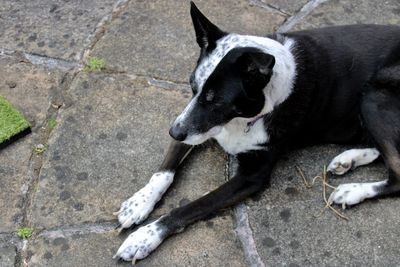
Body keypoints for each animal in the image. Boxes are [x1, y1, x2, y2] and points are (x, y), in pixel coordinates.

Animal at [111, 1, 400, 264]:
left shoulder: (251, 175)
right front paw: (139, 203)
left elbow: (192, 206)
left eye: (216, 101)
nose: (173, 132)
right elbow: (165, 170)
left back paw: (353, 190)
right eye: (192, 87)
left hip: (374, 94)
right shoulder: (192, 122)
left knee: (397, 175)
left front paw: (145, 236)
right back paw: (348, 160)